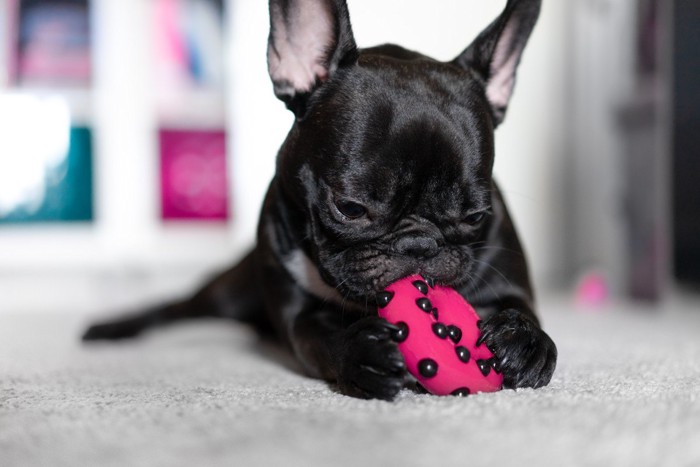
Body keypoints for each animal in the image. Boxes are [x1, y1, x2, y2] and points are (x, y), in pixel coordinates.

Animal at [85, 0, 556, 402]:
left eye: (475, 215)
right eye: (350, 208)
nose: (420, 244)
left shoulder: (508, 285)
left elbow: (526, 310)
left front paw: (525, 342)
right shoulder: (299, 318)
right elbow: (325, 337)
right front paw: (363, 354)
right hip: (228, 292)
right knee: (177, 306)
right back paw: (111, 328)